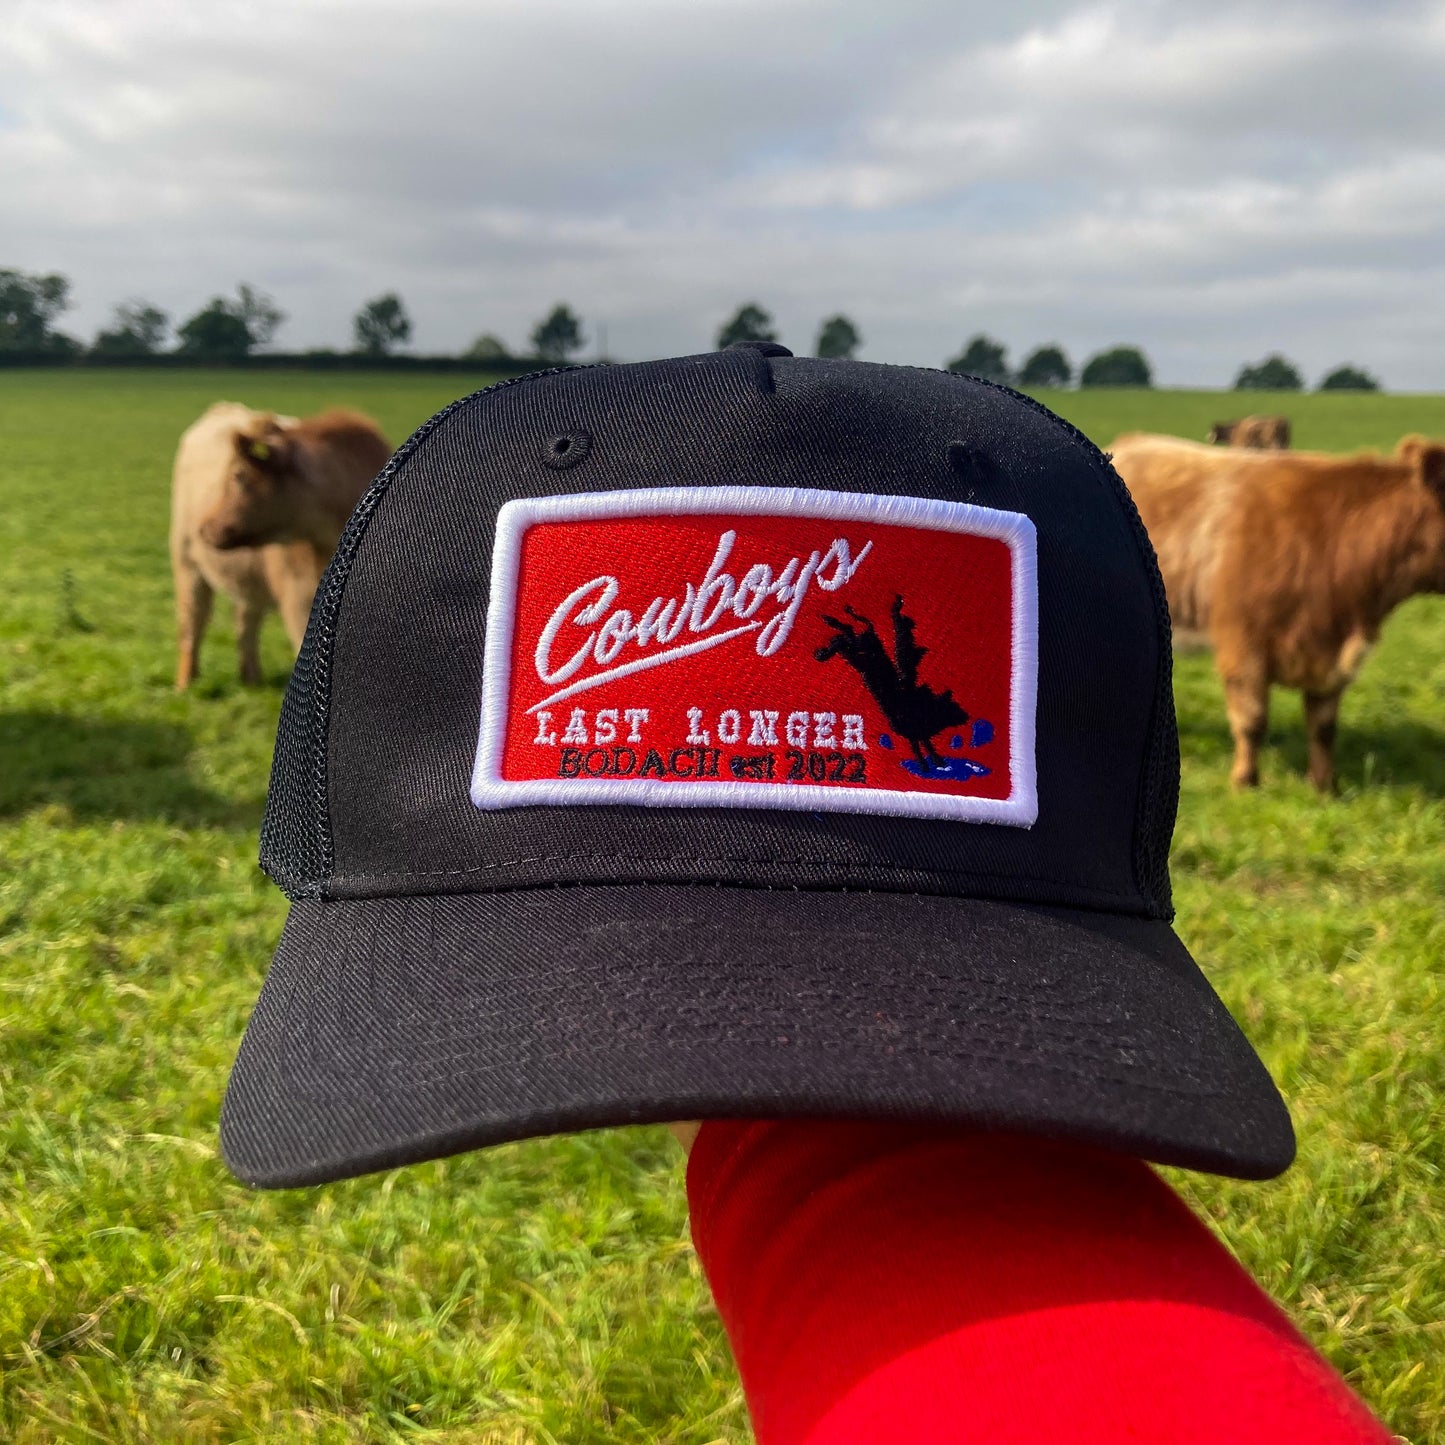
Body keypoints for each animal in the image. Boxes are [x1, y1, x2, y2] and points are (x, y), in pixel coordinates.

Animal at [170, 398, 390, 684]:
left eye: (238, 475)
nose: (206, 528)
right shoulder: (297, 598)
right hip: (187, 562)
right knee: (192, 623)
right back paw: (186, 682)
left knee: (245, 622)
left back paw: (251, 679)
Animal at [1109, 430, 1439, 791]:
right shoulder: (1243, 646)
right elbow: (1252, 720)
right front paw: (1245, 781)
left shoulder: (1330, 660)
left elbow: (1323, 727)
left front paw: (1324, 784)